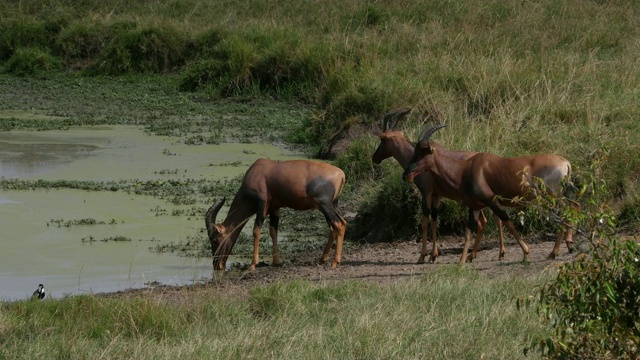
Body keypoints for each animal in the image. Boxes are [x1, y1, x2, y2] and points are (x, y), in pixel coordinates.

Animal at [204, 158, 344, 270]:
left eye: (215, 239)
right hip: (331, 205)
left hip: (324, 204)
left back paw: (334, 262)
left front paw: (253, 264)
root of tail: (341, 174)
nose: (217, 265)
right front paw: (276, 262)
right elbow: (273, 231)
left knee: (339, 224)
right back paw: (322, 259)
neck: (258, 170)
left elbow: (256, 231)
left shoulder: (262, 205)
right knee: (335, 226)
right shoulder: (274, 208)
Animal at [372, 108, 502, 262]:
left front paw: (422, 256)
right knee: (487, 221)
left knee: (487, 220)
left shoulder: (426, 192)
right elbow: (434, 220)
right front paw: (433, 255)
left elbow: (425, 221)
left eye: (383, 139)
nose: (374, 158)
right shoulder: (437, 195)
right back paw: (477, 254)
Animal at [408, 125, 576, 262]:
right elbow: (469, 232)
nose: (407, 175)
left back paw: (554, 252)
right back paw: (558, 251)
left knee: (564, 214)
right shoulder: (475, 207)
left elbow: (507, 222)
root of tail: (565, 162)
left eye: (422, 153)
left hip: (552, 197)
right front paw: (462, 261)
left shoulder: (492, 201)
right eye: (414, 151)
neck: (468, 168)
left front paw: (526, 253)